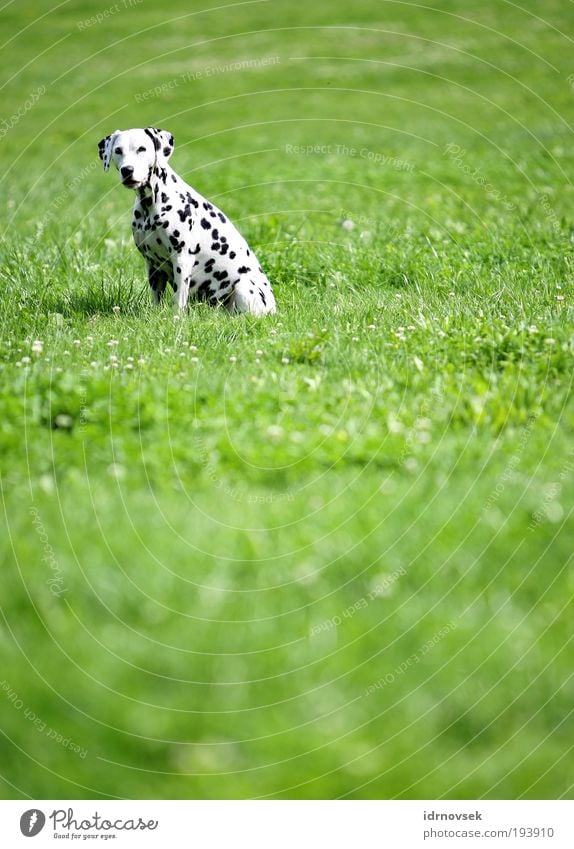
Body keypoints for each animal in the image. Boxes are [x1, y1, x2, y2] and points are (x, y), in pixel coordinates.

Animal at [98, 124, 278, 314]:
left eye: (142, 149)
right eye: (118, 150)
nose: (127, 170)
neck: (151, 204)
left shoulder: (182, 260)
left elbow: (178, 300)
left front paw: (176, 318)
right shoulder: (153, 264)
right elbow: (156, 297)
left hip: (243, 288)